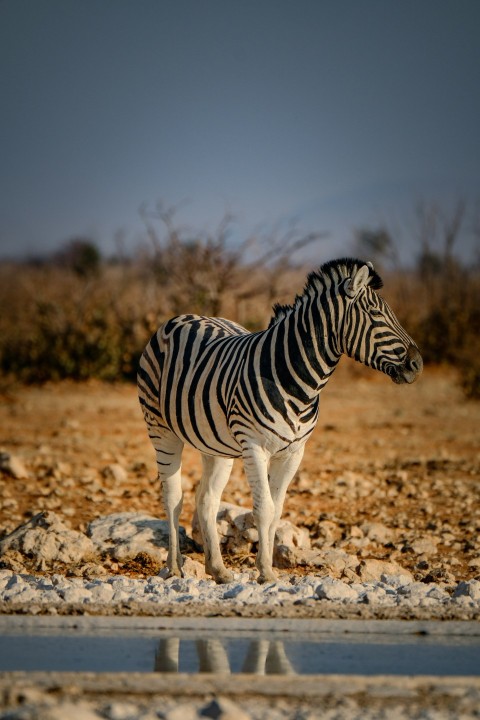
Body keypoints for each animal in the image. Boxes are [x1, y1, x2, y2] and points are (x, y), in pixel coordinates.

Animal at [137, 258, 422, 584]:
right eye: (376, 315)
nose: (417, 364)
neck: (297, 381)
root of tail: (184, 316)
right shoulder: (254, 446)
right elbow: (263, 508)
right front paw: (265, 572)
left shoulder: (294, 453)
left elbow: (277, 510)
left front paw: (268, 567)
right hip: (160, 430)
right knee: (173, 498)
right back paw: (174, 567)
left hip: (216, 444)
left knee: (207, 499)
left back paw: (218, 569)